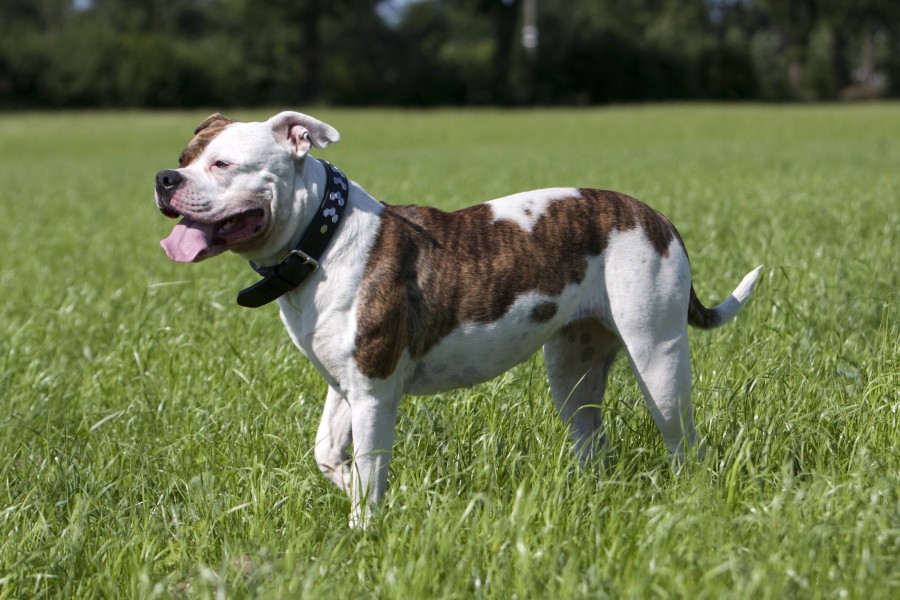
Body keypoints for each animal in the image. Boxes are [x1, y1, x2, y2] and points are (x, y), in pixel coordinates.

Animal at [155, 111, 760, 524]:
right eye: (184, 156)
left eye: (222, 164)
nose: (164, 178)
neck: (320, 239)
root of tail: (656, 217)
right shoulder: (346, 383)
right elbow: (329, 455)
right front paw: (352, 489)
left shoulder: (374, 393)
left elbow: (370, 466)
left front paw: (365, 527)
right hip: (572, 368)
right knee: (592, 439)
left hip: (657, 358)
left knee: (683, 441)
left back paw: (690, 502)